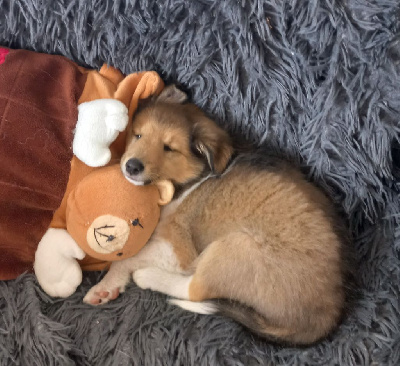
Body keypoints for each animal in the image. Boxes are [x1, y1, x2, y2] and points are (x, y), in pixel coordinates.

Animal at [83, 86, 348, 346]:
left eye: (169, 148)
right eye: (138, 135)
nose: (132, 166)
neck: (188, 183)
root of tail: (326, 318)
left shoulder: (179, 250)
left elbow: (130, 256)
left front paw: (104, 286)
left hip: (235, 248)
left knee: (194, 290)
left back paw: (148, 277)